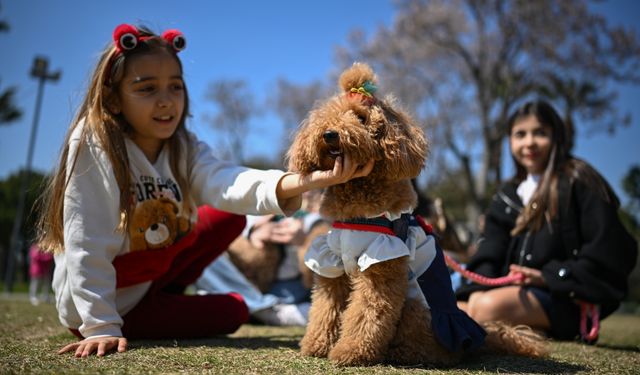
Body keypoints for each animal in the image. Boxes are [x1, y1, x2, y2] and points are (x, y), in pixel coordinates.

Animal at [288, 62, 544, 368]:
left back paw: (401, 353)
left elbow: (367, 312)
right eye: (329, 117)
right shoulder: (332, 263)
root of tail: (475, 340)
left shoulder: (382, 266)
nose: (329, 134)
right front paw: (316, 344)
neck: (360, 207)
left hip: (416, 308)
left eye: (361, 118)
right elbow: (326, 307)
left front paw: (351, 351)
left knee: (429, 348)